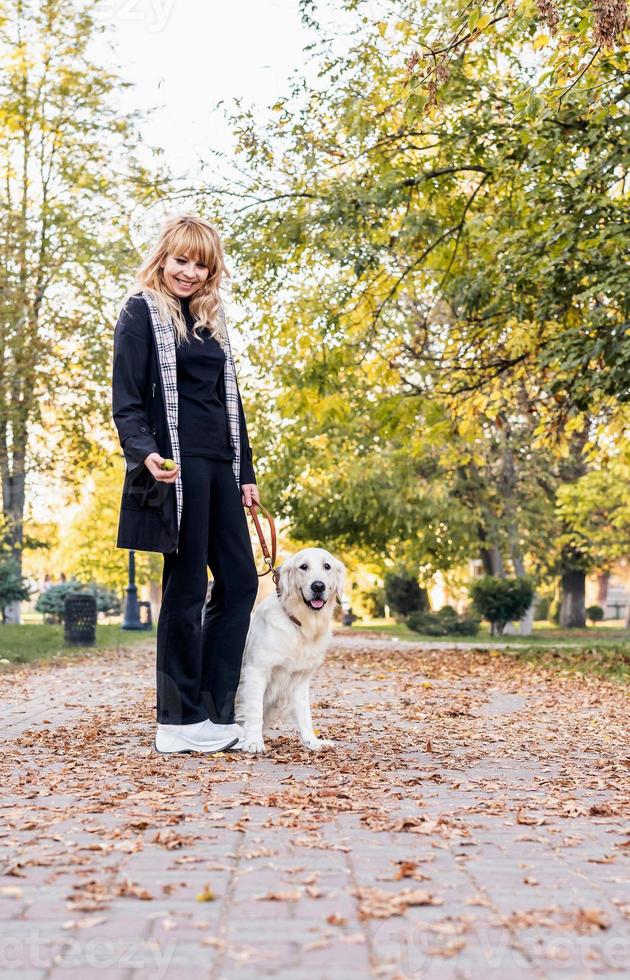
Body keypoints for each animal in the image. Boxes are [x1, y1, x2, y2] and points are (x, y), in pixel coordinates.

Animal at [235, 548, 348, 756]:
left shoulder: (301, 678)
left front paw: (313, 741)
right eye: (303, 567)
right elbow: (254, 710)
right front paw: (253, 741)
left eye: (327, 566)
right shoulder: (256, 671)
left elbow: (304, 713)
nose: (318, 586)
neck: (300, 624)